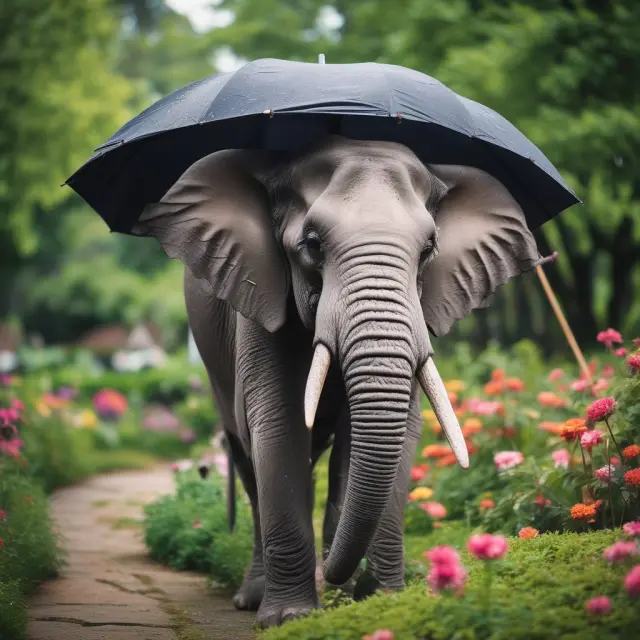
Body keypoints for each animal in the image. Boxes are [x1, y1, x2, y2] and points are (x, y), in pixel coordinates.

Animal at [130, 135, 541, 628]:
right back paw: (254, 597)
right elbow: (280, 422)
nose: (347, 579)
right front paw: (290, 618)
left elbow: (393, 432)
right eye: (312, 243)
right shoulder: (261, 297)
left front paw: (379, 602)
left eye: (428, 249)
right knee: (247, 456)